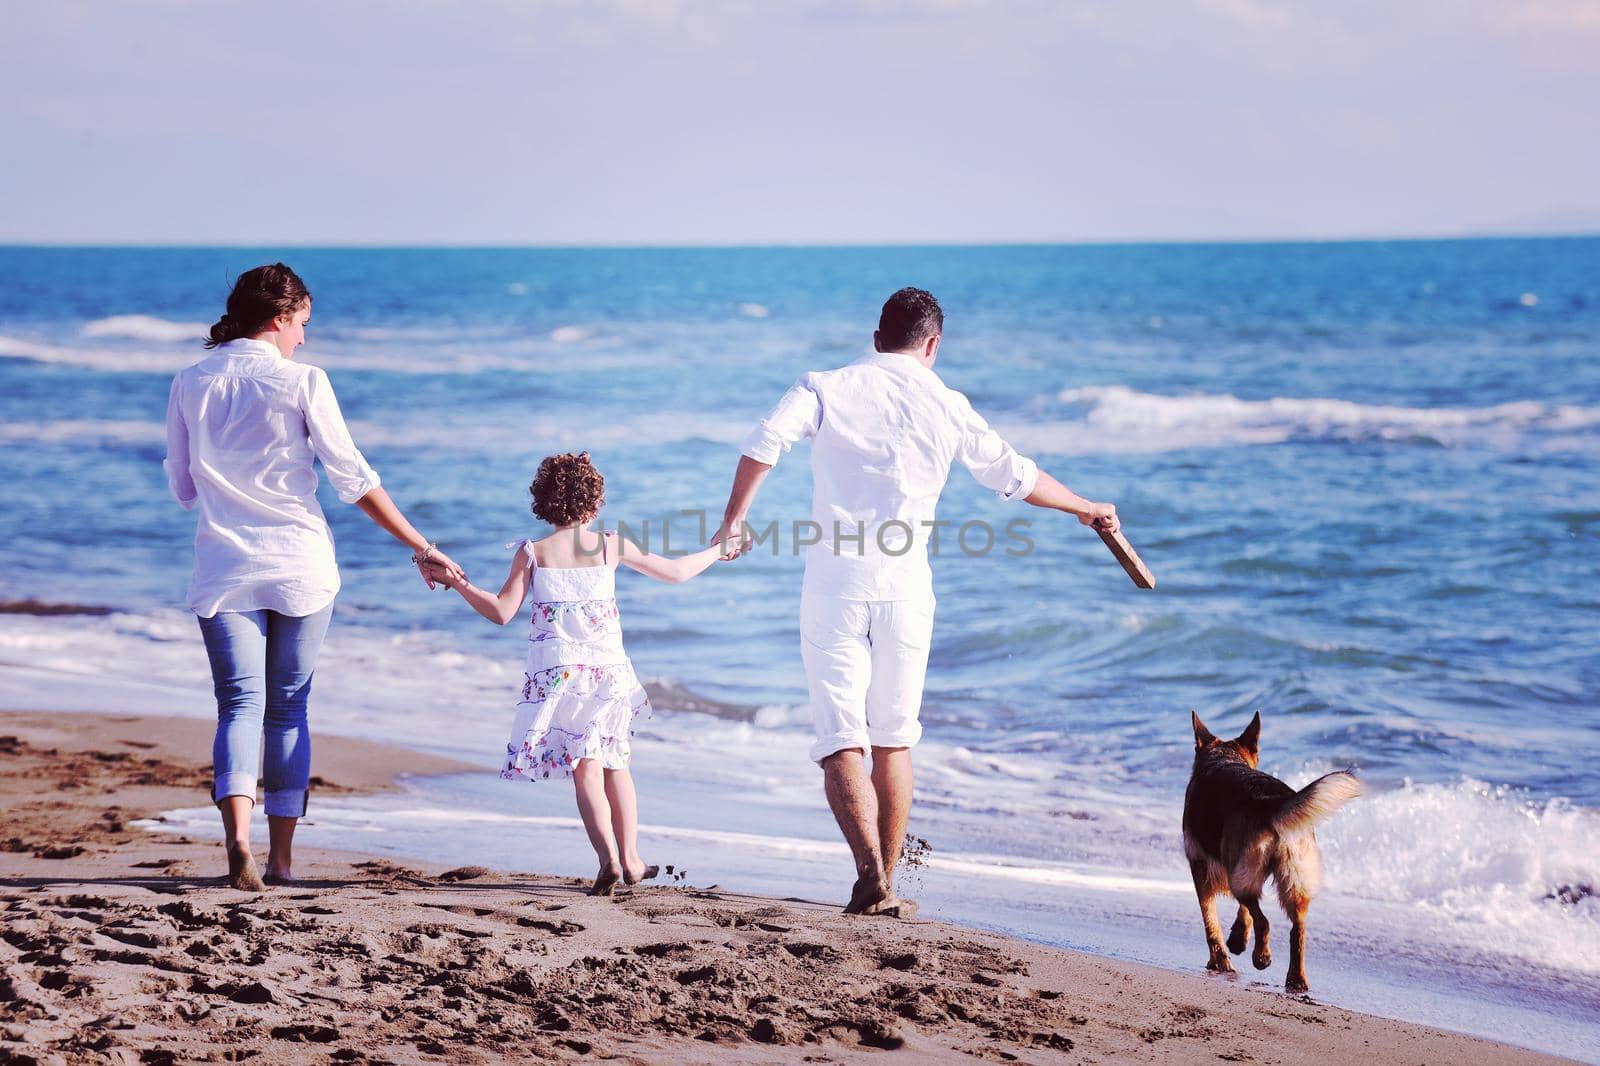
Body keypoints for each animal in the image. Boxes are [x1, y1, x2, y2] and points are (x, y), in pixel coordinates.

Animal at [1184, 710, 1356, 992]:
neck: (1223, 757)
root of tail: (1274, 802)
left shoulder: (1202, 871)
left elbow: (1210, 922)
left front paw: (1220, 959)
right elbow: (1243, 914)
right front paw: (1237, 939)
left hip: (1240, 878)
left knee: (1263, 920)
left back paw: (1261, 957)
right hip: (1290, 881)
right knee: (1297, 929)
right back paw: (1296, 978)